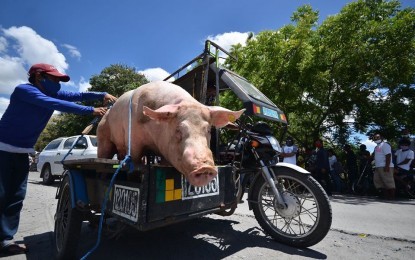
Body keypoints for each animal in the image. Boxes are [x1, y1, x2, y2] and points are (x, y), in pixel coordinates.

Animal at [96, 80, 247, 186]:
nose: (205, 167)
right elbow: (134, 165)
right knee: (104, 160)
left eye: (208, 130)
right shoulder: (133, 142)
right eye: (179, 129)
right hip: (103, 136)